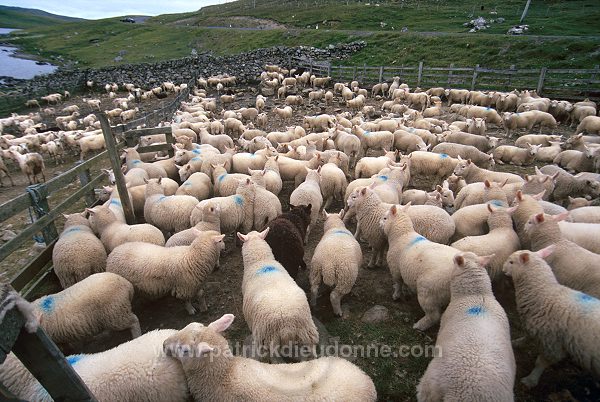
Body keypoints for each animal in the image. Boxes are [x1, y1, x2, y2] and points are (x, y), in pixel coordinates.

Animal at [502, 247, 600, 388]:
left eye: (511, 262)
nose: (503, 270)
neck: (544, 292)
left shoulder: (552, 342)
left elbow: (541, 362)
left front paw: (531, 380)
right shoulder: (534, 325)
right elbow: (527, 334)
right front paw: (518, 342)